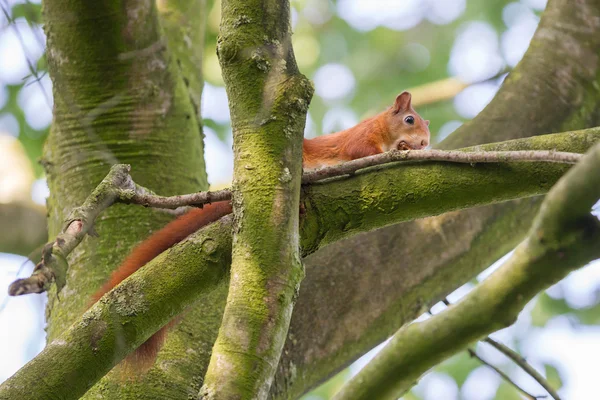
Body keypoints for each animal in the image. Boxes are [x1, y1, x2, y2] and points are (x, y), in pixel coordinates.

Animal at [90, 91, 426, 372]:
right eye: (410, 120)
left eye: (427, 127)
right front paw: (401, 147)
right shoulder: (359, 138)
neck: (381, 128)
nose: (424, 143)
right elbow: (361, 151)